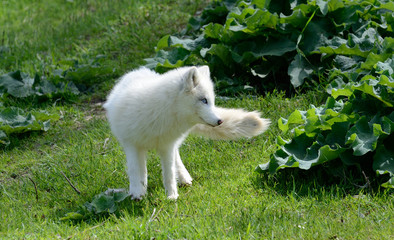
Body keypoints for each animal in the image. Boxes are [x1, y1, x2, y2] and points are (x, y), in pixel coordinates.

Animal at [103, 65, 270, 199]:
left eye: (212, 101)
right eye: (204, 100)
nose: (220, 121)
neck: (158, 113)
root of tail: (139, 71)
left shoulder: (167, 146)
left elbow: (169, 174)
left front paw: (172, 197)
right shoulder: (131, 145)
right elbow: (136, 171)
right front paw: (137, 193)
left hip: (172, 144)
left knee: (176, 158)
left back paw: (184, 178)